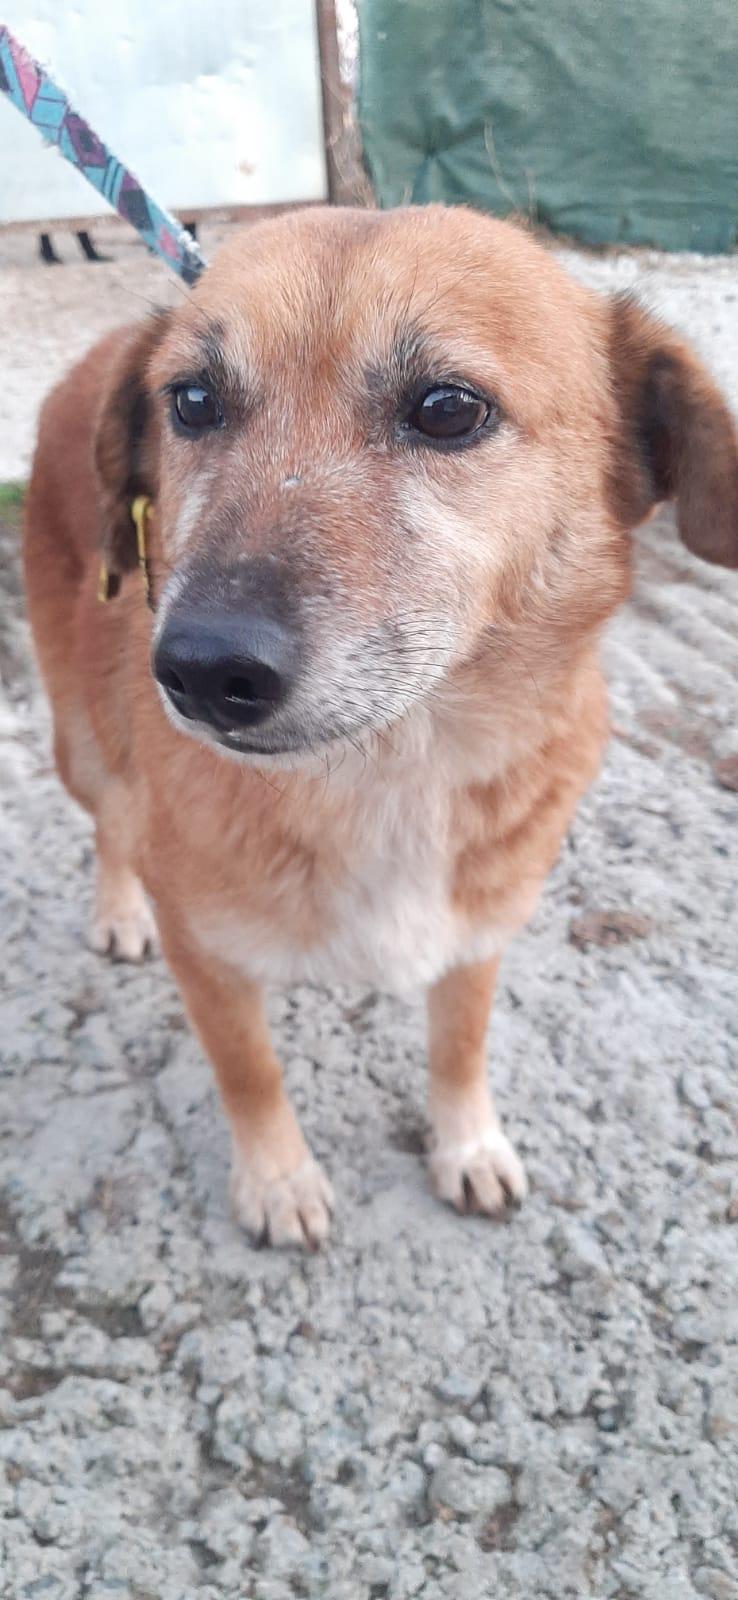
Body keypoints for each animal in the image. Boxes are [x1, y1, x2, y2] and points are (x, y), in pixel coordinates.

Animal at [23, 204, 738, 1248]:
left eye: (448, 409)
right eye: (191, 401)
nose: (202, 670)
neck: (396, 766)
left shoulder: (477, 930)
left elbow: (460, 1045)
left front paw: (467, 1145)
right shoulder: (207, 954)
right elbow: (250, 1071)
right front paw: (278, 1180)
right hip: (80, 738)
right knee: (110, 822)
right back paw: (118, 909)